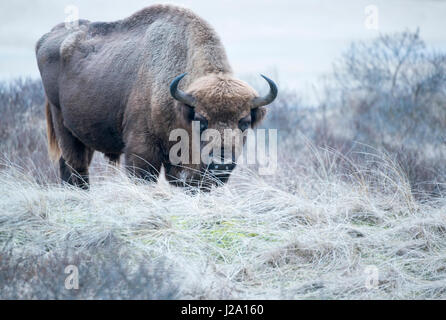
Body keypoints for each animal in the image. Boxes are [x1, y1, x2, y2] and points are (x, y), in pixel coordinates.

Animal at [36, 3, 278, 189]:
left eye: (244, 122)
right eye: (201, 119)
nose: (221, 162)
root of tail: (46, 38)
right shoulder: (142, 151)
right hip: (63, 126)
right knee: (76, 167)